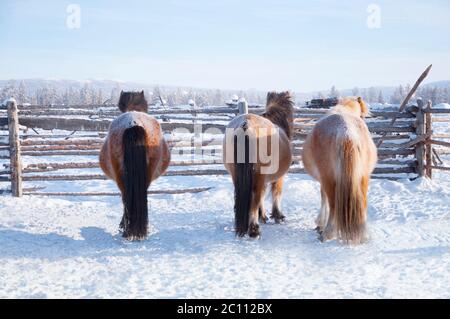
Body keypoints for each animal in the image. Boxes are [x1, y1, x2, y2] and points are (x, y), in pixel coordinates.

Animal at [222, 91, 294, 239]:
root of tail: (245, 124)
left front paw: (264, 216)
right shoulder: (278, 177)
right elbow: (276, 193)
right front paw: (278, 215)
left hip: (236, 175)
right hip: (259, 175)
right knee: (254, 198)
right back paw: (254, 229)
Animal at [302, 97, 376, 245]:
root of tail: (346, 131)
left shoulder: (323, 179)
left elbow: (323, 196)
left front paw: (320, 223)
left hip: (329, 180)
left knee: (333, 205)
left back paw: (327, 233)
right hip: (363, 178)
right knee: (362, 204)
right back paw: (363, 235)